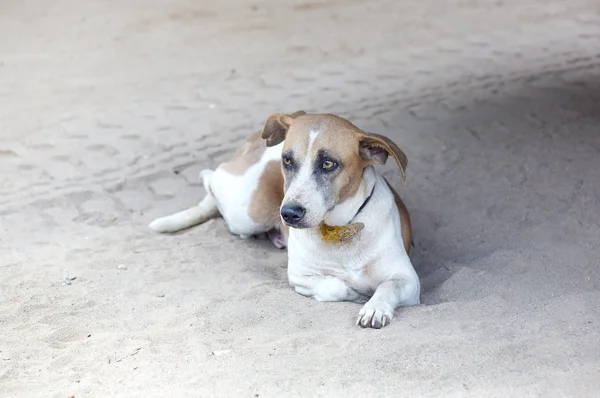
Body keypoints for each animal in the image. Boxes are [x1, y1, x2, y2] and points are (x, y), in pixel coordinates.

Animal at [149, 111, 422, 326]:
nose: (289, 214)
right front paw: (357, 294)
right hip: (246, 211)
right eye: (288, 160)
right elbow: (336, 286)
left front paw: (375, 307)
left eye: (328, 164)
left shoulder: (408, 280)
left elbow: (387, 286)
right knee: (211, 177)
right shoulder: (300, 275)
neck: (340, 231)